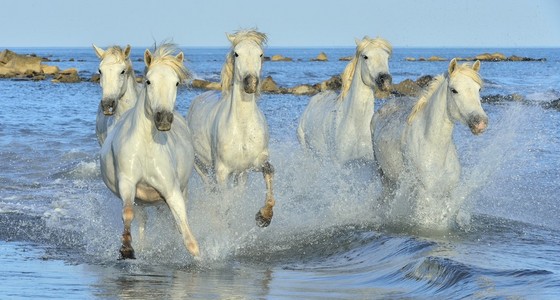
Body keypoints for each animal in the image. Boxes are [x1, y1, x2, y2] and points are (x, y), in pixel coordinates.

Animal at [100, 43, 199, 258]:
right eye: (148, 81)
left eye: (176, 83)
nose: (163, 119)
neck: (146, 146)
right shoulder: (128, 183)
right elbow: (128, 213)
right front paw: (127, 248)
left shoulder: (172, 190)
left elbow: (187, 233)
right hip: (142, 200)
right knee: (142, 219)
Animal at [187, 29, 276, 227]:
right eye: (236, 53)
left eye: (261, 54)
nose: (251, 83)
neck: (242, 128)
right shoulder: (221, 172)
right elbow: (225, 202)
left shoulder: (255, 162)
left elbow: (268, 170)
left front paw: (264, 216)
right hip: (200, 166)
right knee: (210, 188)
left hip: (240, 173)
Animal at [372, 58, 486, 226]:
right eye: (454, 90)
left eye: (478, 89)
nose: (480, 123)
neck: (433, 146)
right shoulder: (424, 193)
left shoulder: (448, 192)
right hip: (384, 176)